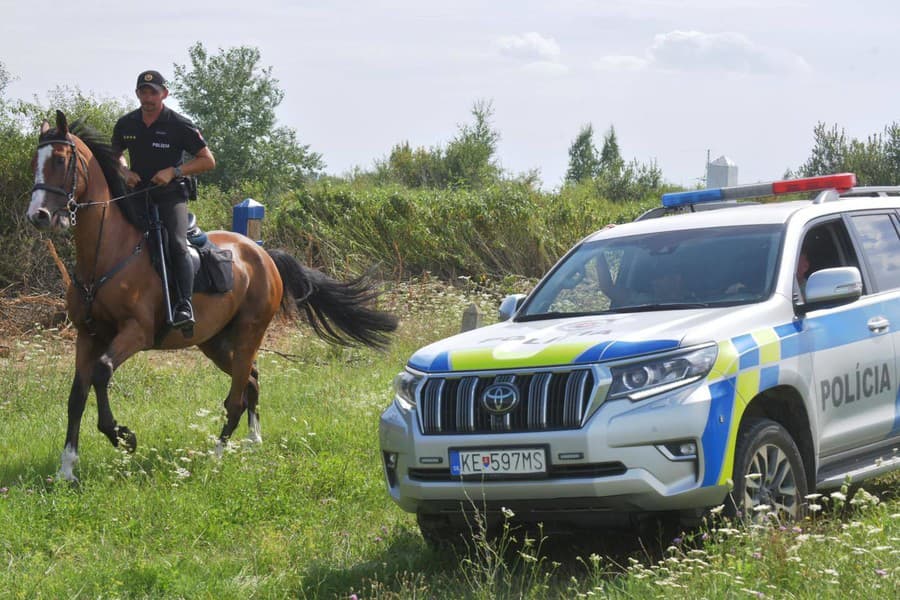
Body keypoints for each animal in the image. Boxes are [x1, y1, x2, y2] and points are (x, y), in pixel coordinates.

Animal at [27, 110, 398, 480]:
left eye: (60, 160)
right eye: (35, 160)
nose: (38, 216)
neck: (107, 255)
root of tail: (263, 254)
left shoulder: (135, 333)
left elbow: (102, 374)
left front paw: (123, 436)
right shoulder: (88, 335)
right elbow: (77, 394)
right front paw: (67, 469)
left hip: (249, 333)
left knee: (235, 398)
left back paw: (216, 458)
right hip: (214, 341)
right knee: (251, 380)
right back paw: (253, 441)